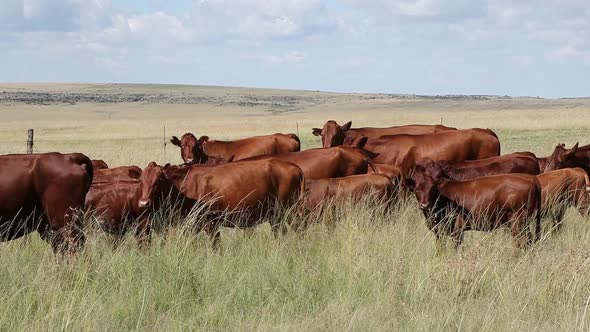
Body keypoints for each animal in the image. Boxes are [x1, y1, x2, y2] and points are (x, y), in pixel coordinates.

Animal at [138, 158, 306, 246]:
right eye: (141, 180)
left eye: (159, 180)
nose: (144, 203)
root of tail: (293, 166)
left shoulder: (211, 223)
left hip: (287, 213)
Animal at [408, 160, 540, 250]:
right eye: (417, 189)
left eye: (433, 188)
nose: (424, 205)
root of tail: (531, 179)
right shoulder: (438, 232)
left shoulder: (457, 231)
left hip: (517, 222)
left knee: (520, 243)